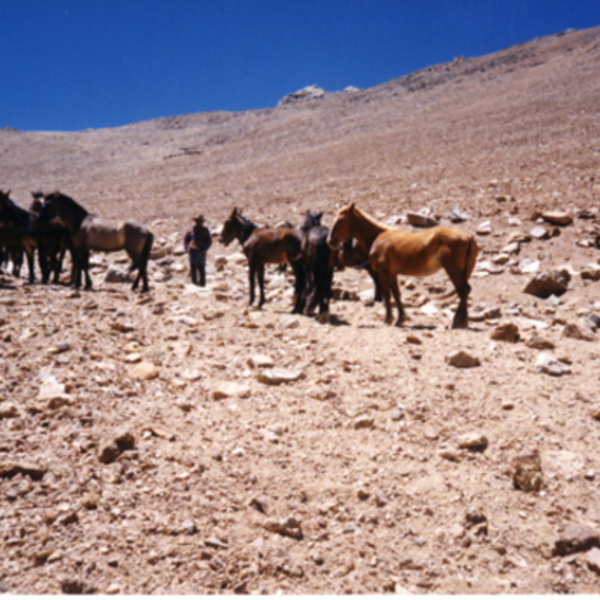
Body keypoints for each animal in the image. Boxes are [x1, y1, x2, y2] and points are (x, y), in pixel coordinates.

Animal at [326, 205, 480, 328]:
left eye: (340, 220)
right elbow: (396, 294)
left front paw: (388, 319)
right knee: (465, 291)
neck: (378, 237)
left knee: (463, 291)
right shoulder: (392, 273)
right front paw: (400, 319)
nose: (330, 241)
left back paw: (460, 322)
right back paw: (458, 320)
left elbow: (387, 295)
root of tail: (468, 237)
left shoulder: (382, 272)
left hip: (453, 271)